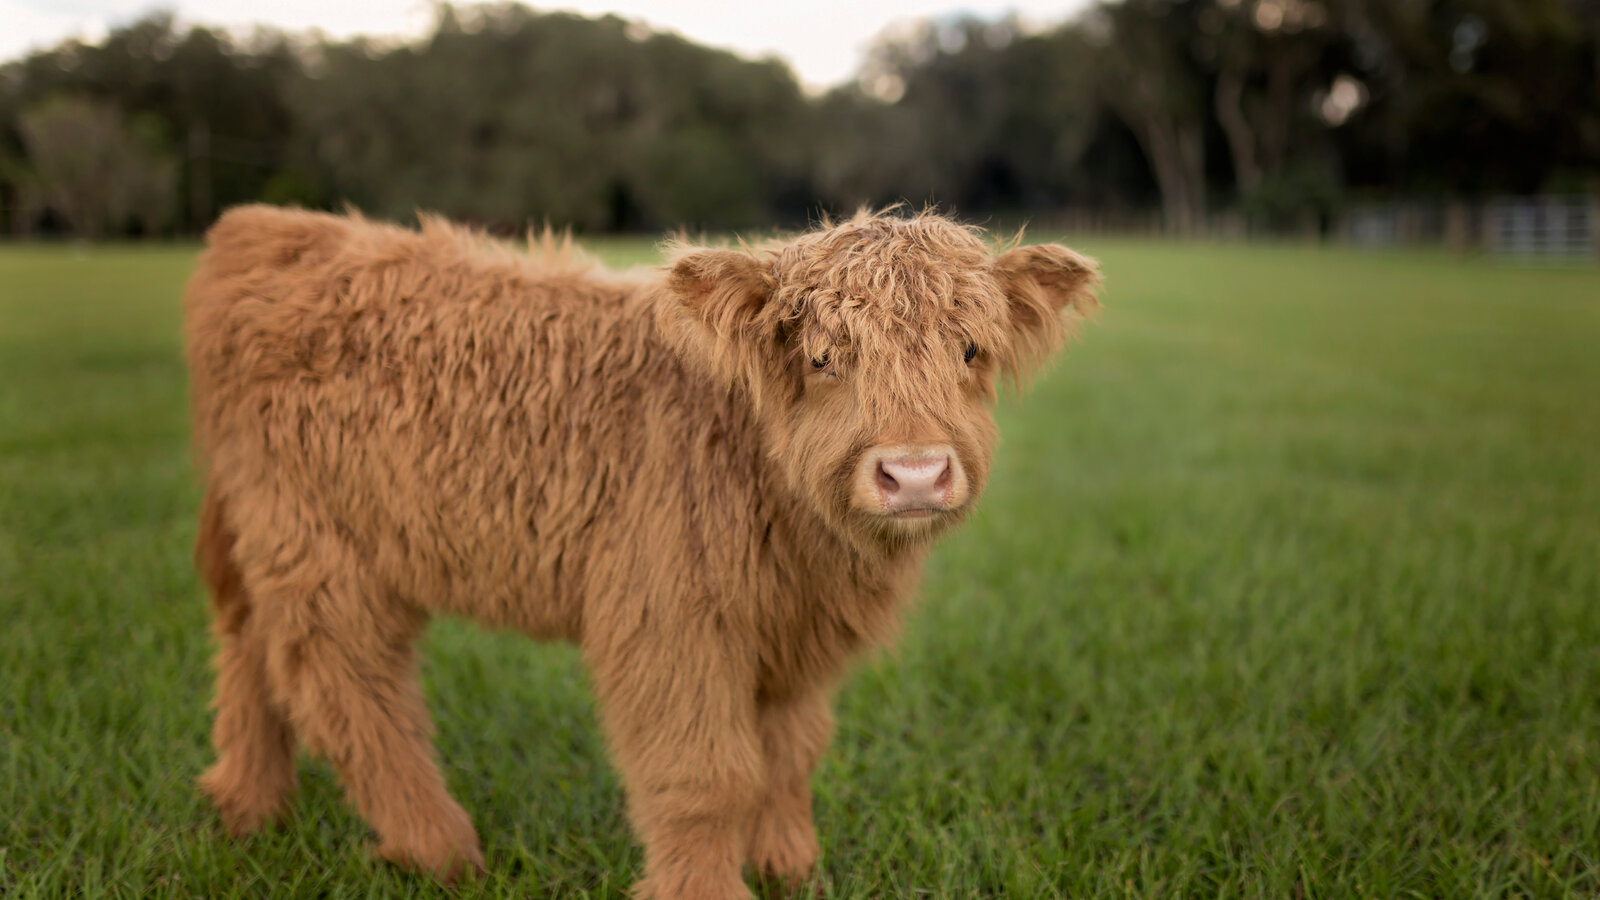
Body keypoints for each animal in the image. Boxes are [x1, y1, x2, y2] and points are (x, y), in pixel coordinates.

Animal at [183, 204, 1099, 899]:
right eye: (821, 357)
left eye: (970, 350)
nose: (913, 473)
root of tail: (271, 226)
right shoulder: (670, 619)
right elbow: (706, 775)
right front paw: (708, 890)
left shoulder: (791, 635)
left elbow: (788, 756)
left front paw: (791, 868)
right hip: (317, 545)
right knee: (343, 681)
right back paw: (436, 848)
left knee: (251, 643)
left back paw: (249, 806)